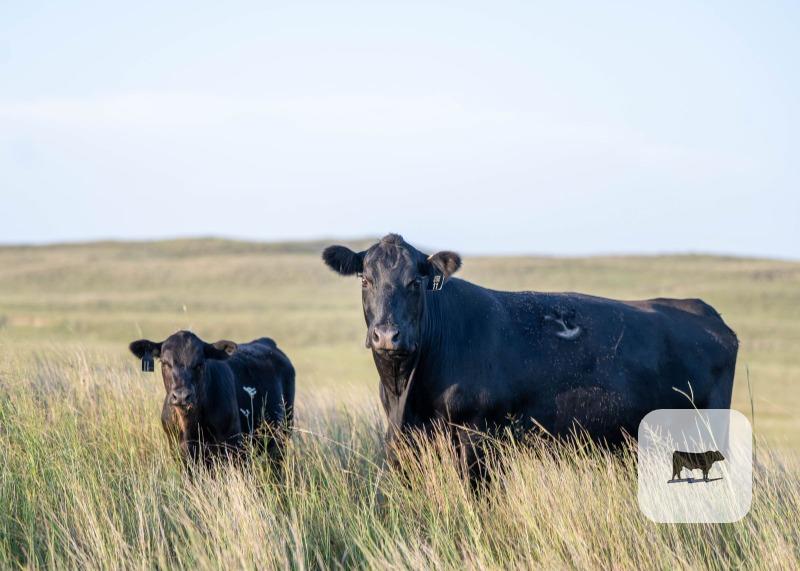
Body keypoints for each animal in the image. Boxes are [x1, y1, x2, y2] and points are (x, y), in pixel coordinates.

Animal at [129, 331, 295, 469]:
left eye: (200, 363)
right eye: (164, 362)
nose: (182, 396)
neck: (190, 426)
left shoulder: (234, 448)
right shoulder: (178, 451)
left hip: (283, 433)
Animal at [322, 234, 738, 481]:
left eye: (415, 282)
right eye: (365, 280)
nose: (387, 335)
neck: (404, 390)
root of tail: (702, 309)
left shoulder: (477, 435)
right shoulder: (405, 439)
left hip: (710, 427)